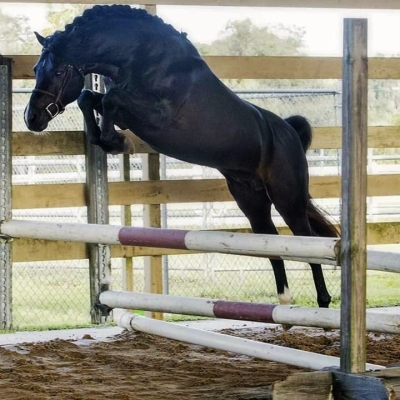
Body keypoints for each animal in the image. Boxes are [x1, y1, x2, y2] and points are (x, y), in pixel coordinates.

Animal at [24, 4, 338, 308]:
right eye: (36, 68)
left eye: (59, 72)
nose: (32, 118)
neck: (140, 57)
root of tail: (290, 133)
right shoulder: (124, 109)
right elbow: (88, 97)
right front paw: (108, 139)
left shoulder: (158, 116)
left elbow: (109, 100)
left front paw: (117, 142)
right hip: (251, 199)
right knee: (271, 242)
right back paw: (284, 303)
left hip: (287, 198)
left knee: (307, 241)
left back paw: (323, 303)